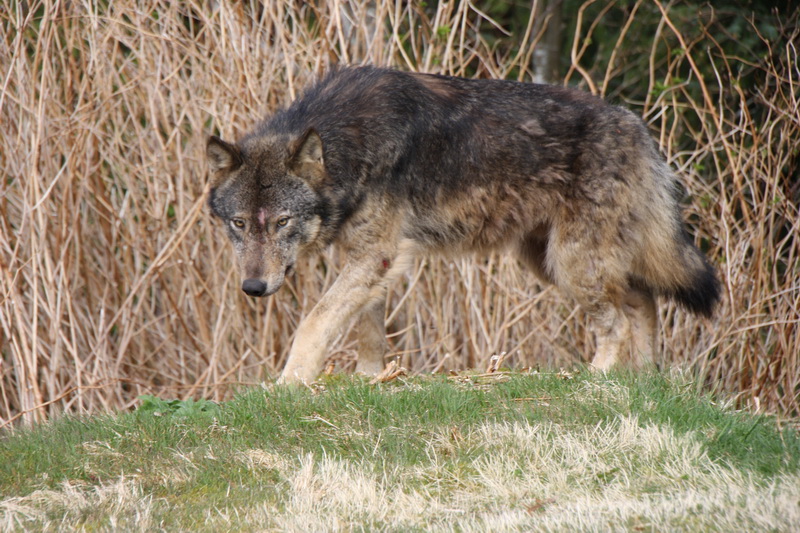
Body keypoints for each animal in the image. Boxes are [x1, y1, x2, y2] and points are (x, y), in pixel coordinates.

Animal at [206, 65, 720, 382]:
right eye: (239, 224)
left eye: (281, 222)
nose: (253, 288)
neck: (348, 145)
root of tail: (637, 126)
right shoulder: (369, 258)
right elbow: (365, 330)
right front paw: (369, 381)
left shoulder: (377, 254)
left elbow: (314, 322)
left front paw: (288, 385)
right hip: (550, 262)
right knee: (644, 300)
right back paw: (644, 380)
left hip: (572, 264)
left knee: (617, 321)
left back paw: (594, 379)